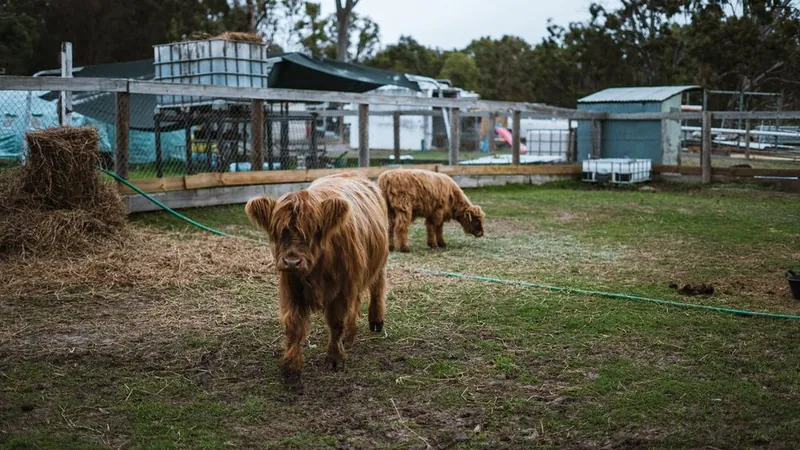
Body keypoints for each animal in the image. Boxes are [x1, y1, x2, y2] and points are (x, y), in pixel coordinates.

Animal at [245, 172, 389, 383]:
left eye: (313, 232)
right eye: (280, 232)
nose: (292, 262)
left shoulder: (343, 288)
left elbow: (336, 322)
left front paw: (335, 359)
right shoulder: (292, 288)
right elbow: (294, 326)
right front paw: (291, 368)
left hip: (379, 261)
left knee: (377, 287)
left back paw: (376, 321)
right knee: (355, 303)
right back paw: (350, 335)